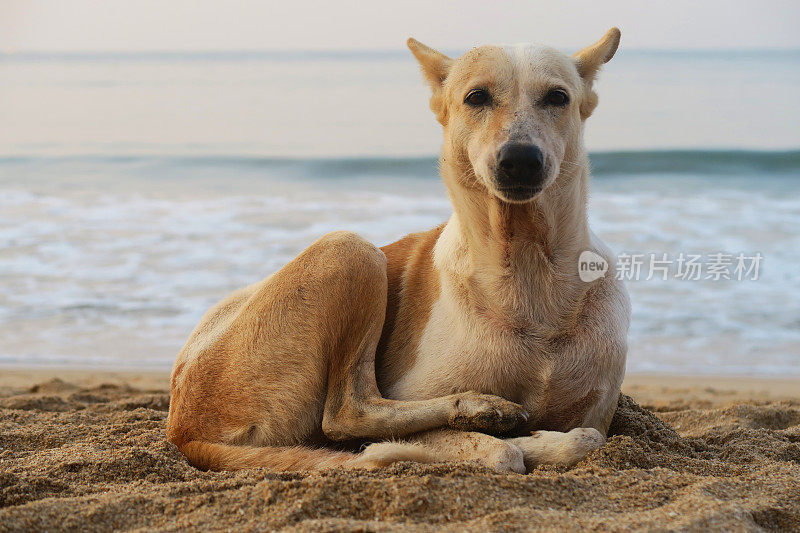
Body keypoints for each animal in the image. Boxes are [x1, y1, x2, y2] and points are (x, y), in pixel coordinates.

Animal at [167, 27, 632, 472]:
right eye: (476, 97)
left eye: (558, 97)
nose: (520, 160)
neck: (527, 268)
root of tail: (181, 430)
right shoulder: (417, 397)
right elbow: (501, 451)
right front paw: (498, 430)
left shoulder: (595, 410)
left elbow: (590, 436)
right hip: (351, 250)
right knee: (346, 414)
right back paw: (475, 409)